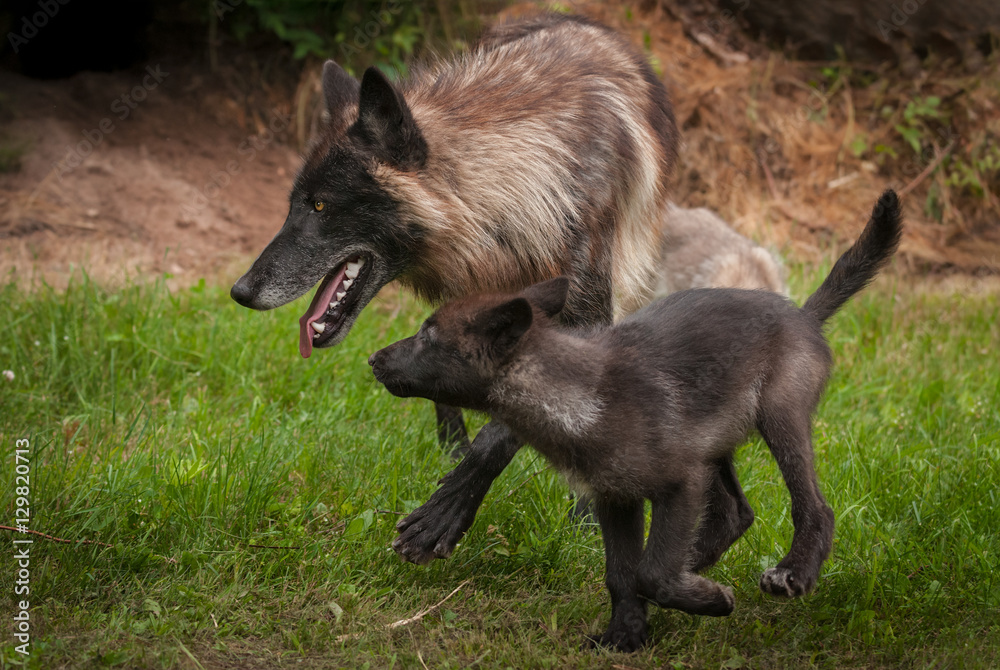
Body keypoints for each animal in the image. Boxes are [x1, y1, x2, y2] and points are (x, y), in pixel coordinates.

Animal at [369, 191, 902, 652]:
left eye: (428, 336)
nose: (372, 358)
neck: (580, 398)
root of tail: (804, 315)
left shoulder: (681, 483)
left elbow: (650, 572)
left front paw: (709, 600)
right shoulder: (617, 498)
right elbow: (623, 574)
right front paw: (625, 636)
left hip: (780, 419)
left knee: (814, 507)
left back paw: (792, 572)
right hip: (716, 446)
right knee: (736, 513)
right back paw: (697, 567)